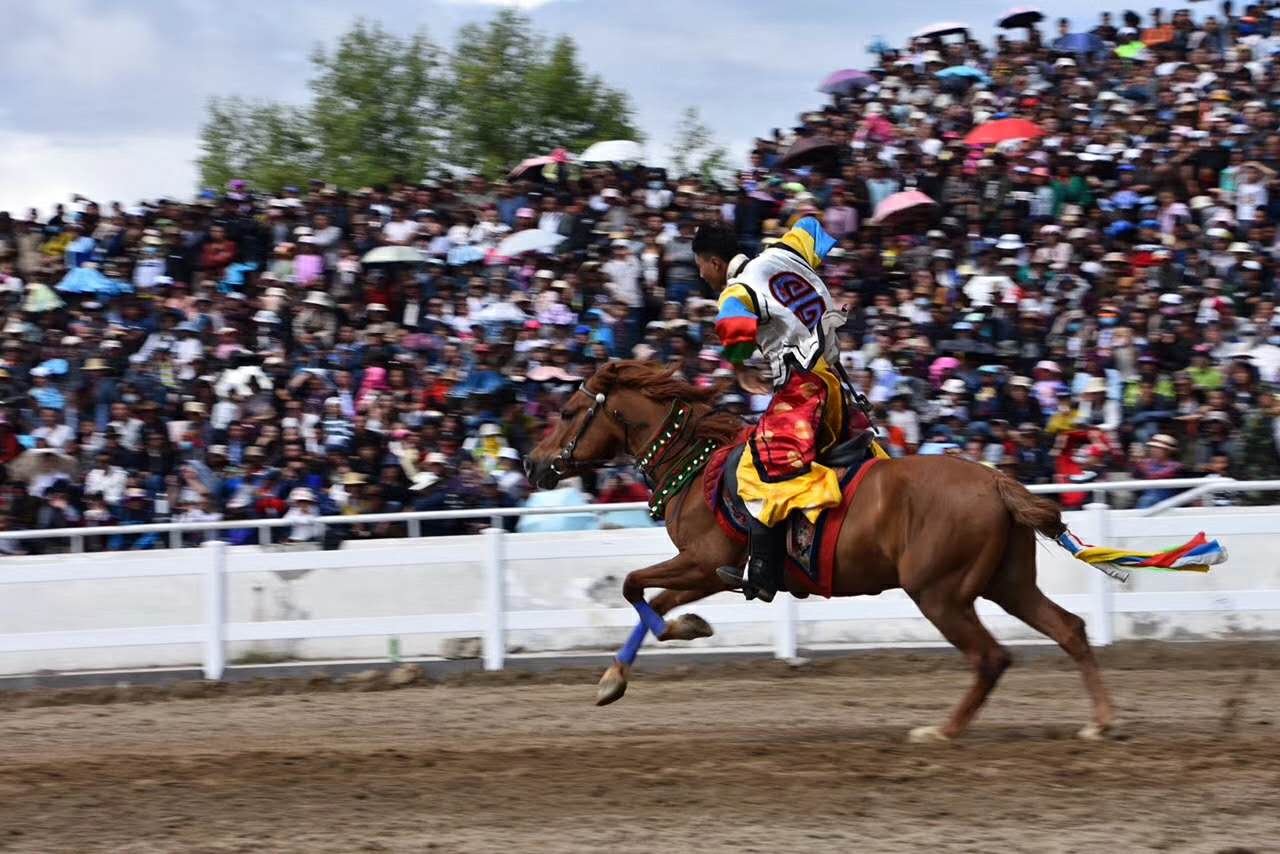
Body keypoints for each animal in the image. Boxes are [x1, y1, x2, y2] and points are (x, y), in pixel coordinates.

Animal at [524, 361, 1116, 742]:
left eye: (570, 411)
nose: (532, 463)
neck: (698, 466)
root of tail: (995, 481)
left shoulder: (703, 562)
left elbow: (632, 586)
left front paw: (668, 639)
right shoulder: (709, 571)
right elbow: (655, 605)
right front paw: (628, 669)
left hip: (941, 595)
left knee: (991, 658)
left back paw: (943, 731)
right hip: (1007, 583)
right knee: (1069, 629)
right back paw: (1099, 721)